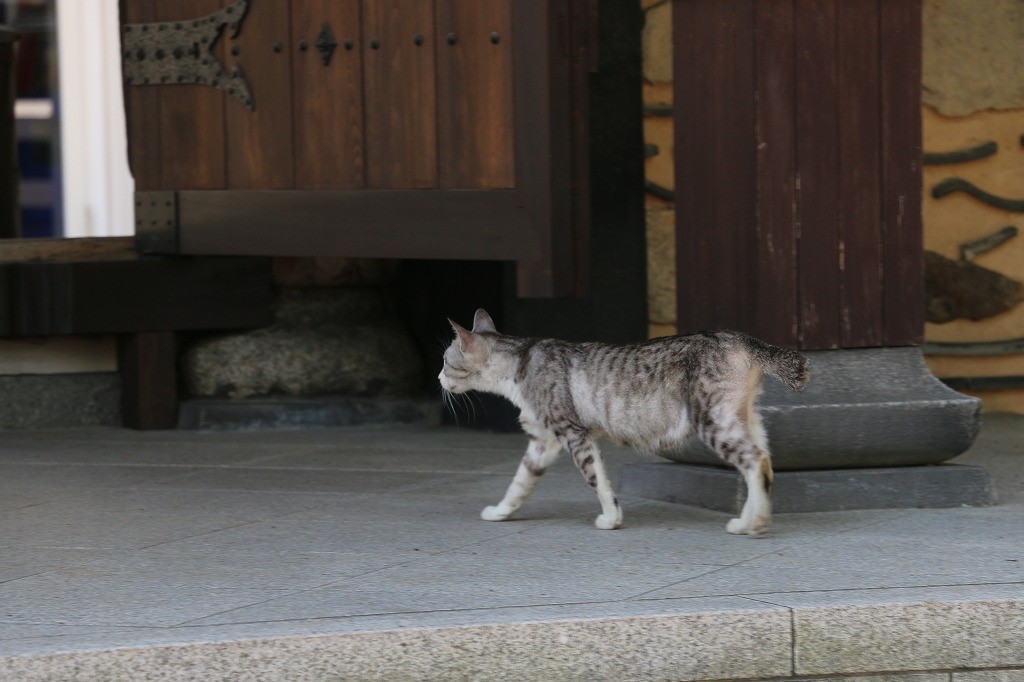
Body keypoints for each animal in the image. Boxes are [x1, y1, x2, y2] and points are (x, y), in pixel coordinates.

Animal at [440, 309, 806, 536]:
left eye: (444, 361)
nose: (438, 378)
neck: (520, 362)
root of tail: (738, 337)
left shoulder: (573, 433)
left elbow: (596, 478)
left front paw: (611, 517)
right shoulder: (542, 441)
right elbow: (519, 483)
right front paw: (501, 511)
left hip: (713, 420)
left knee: (755, 461)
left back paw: (755, 524)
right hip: (744, 418)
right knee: (763, 465)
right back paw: (747, 521)